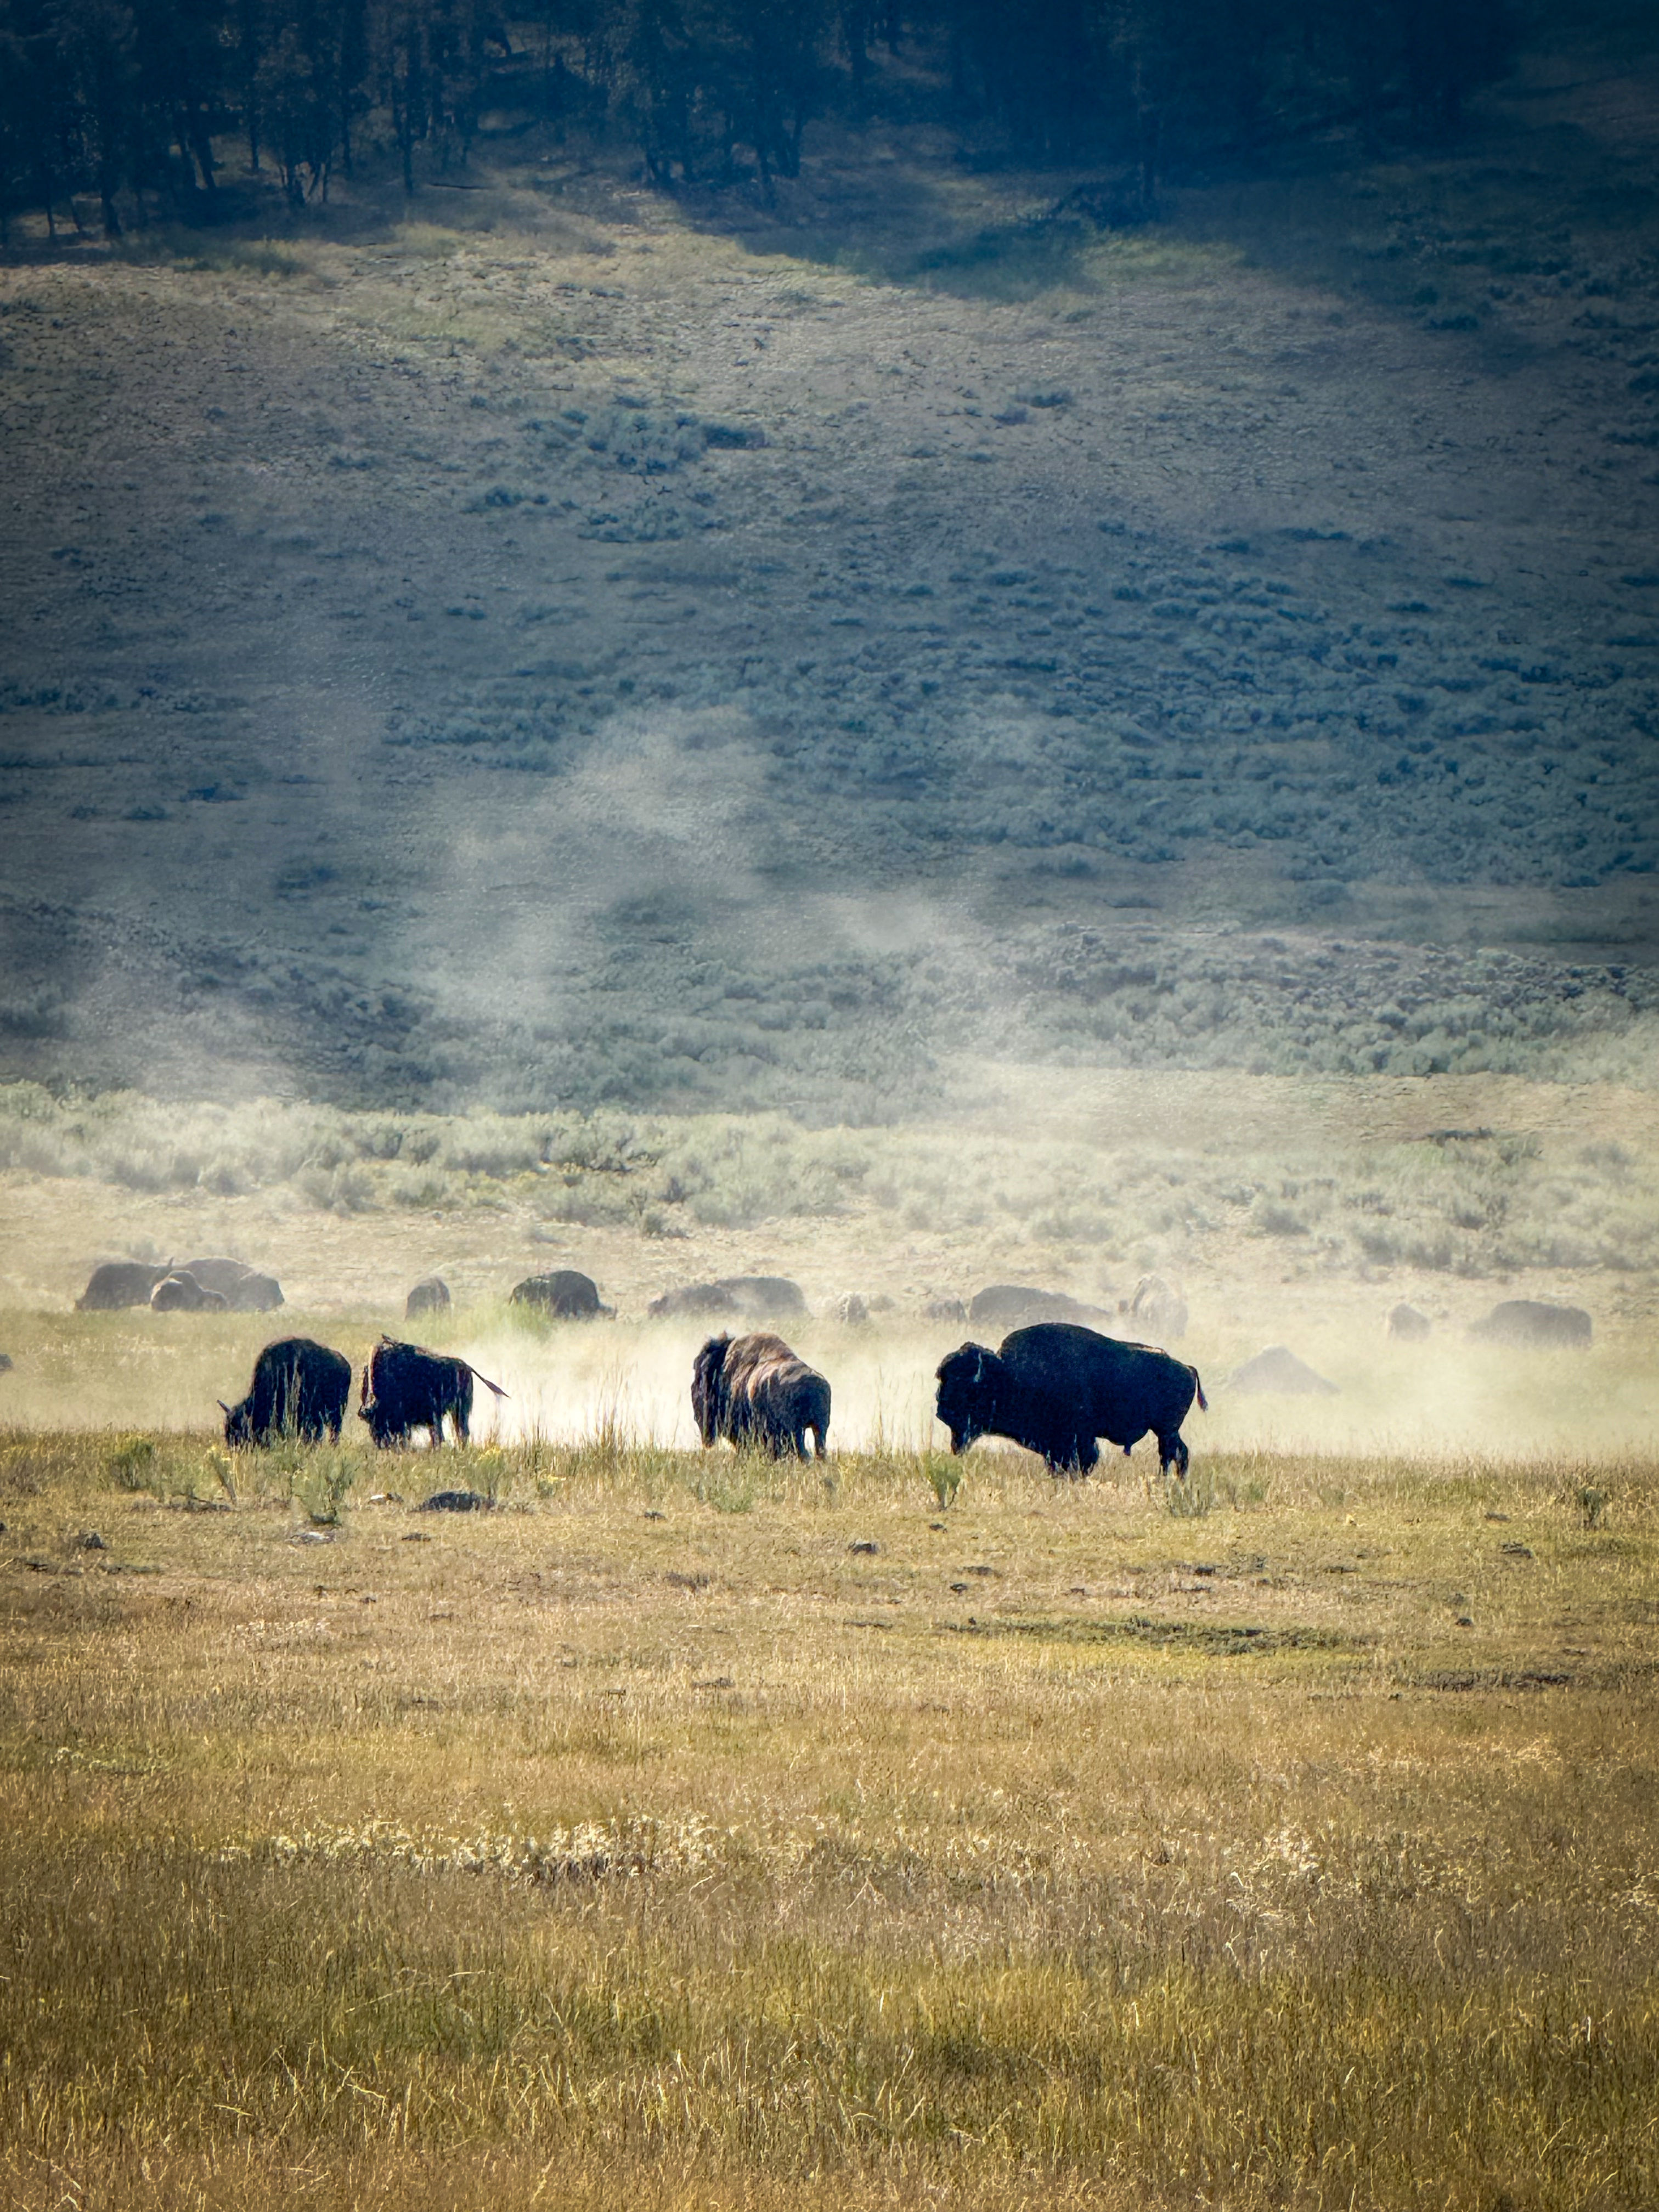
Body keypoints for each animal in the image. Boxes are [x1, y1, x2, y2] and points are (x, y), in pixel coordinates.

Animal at [936, 1322, 1205, 1478]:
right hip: (1166, 1431)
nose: (941, 1408)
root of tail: (1187, 1368)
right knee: (1176, 1453)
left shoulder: (1075, 1439)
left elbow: (1083, 1460)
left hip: (1166, 1430)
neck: (1009, 1374)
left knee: (1174, 1454)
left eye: (964, 1384)